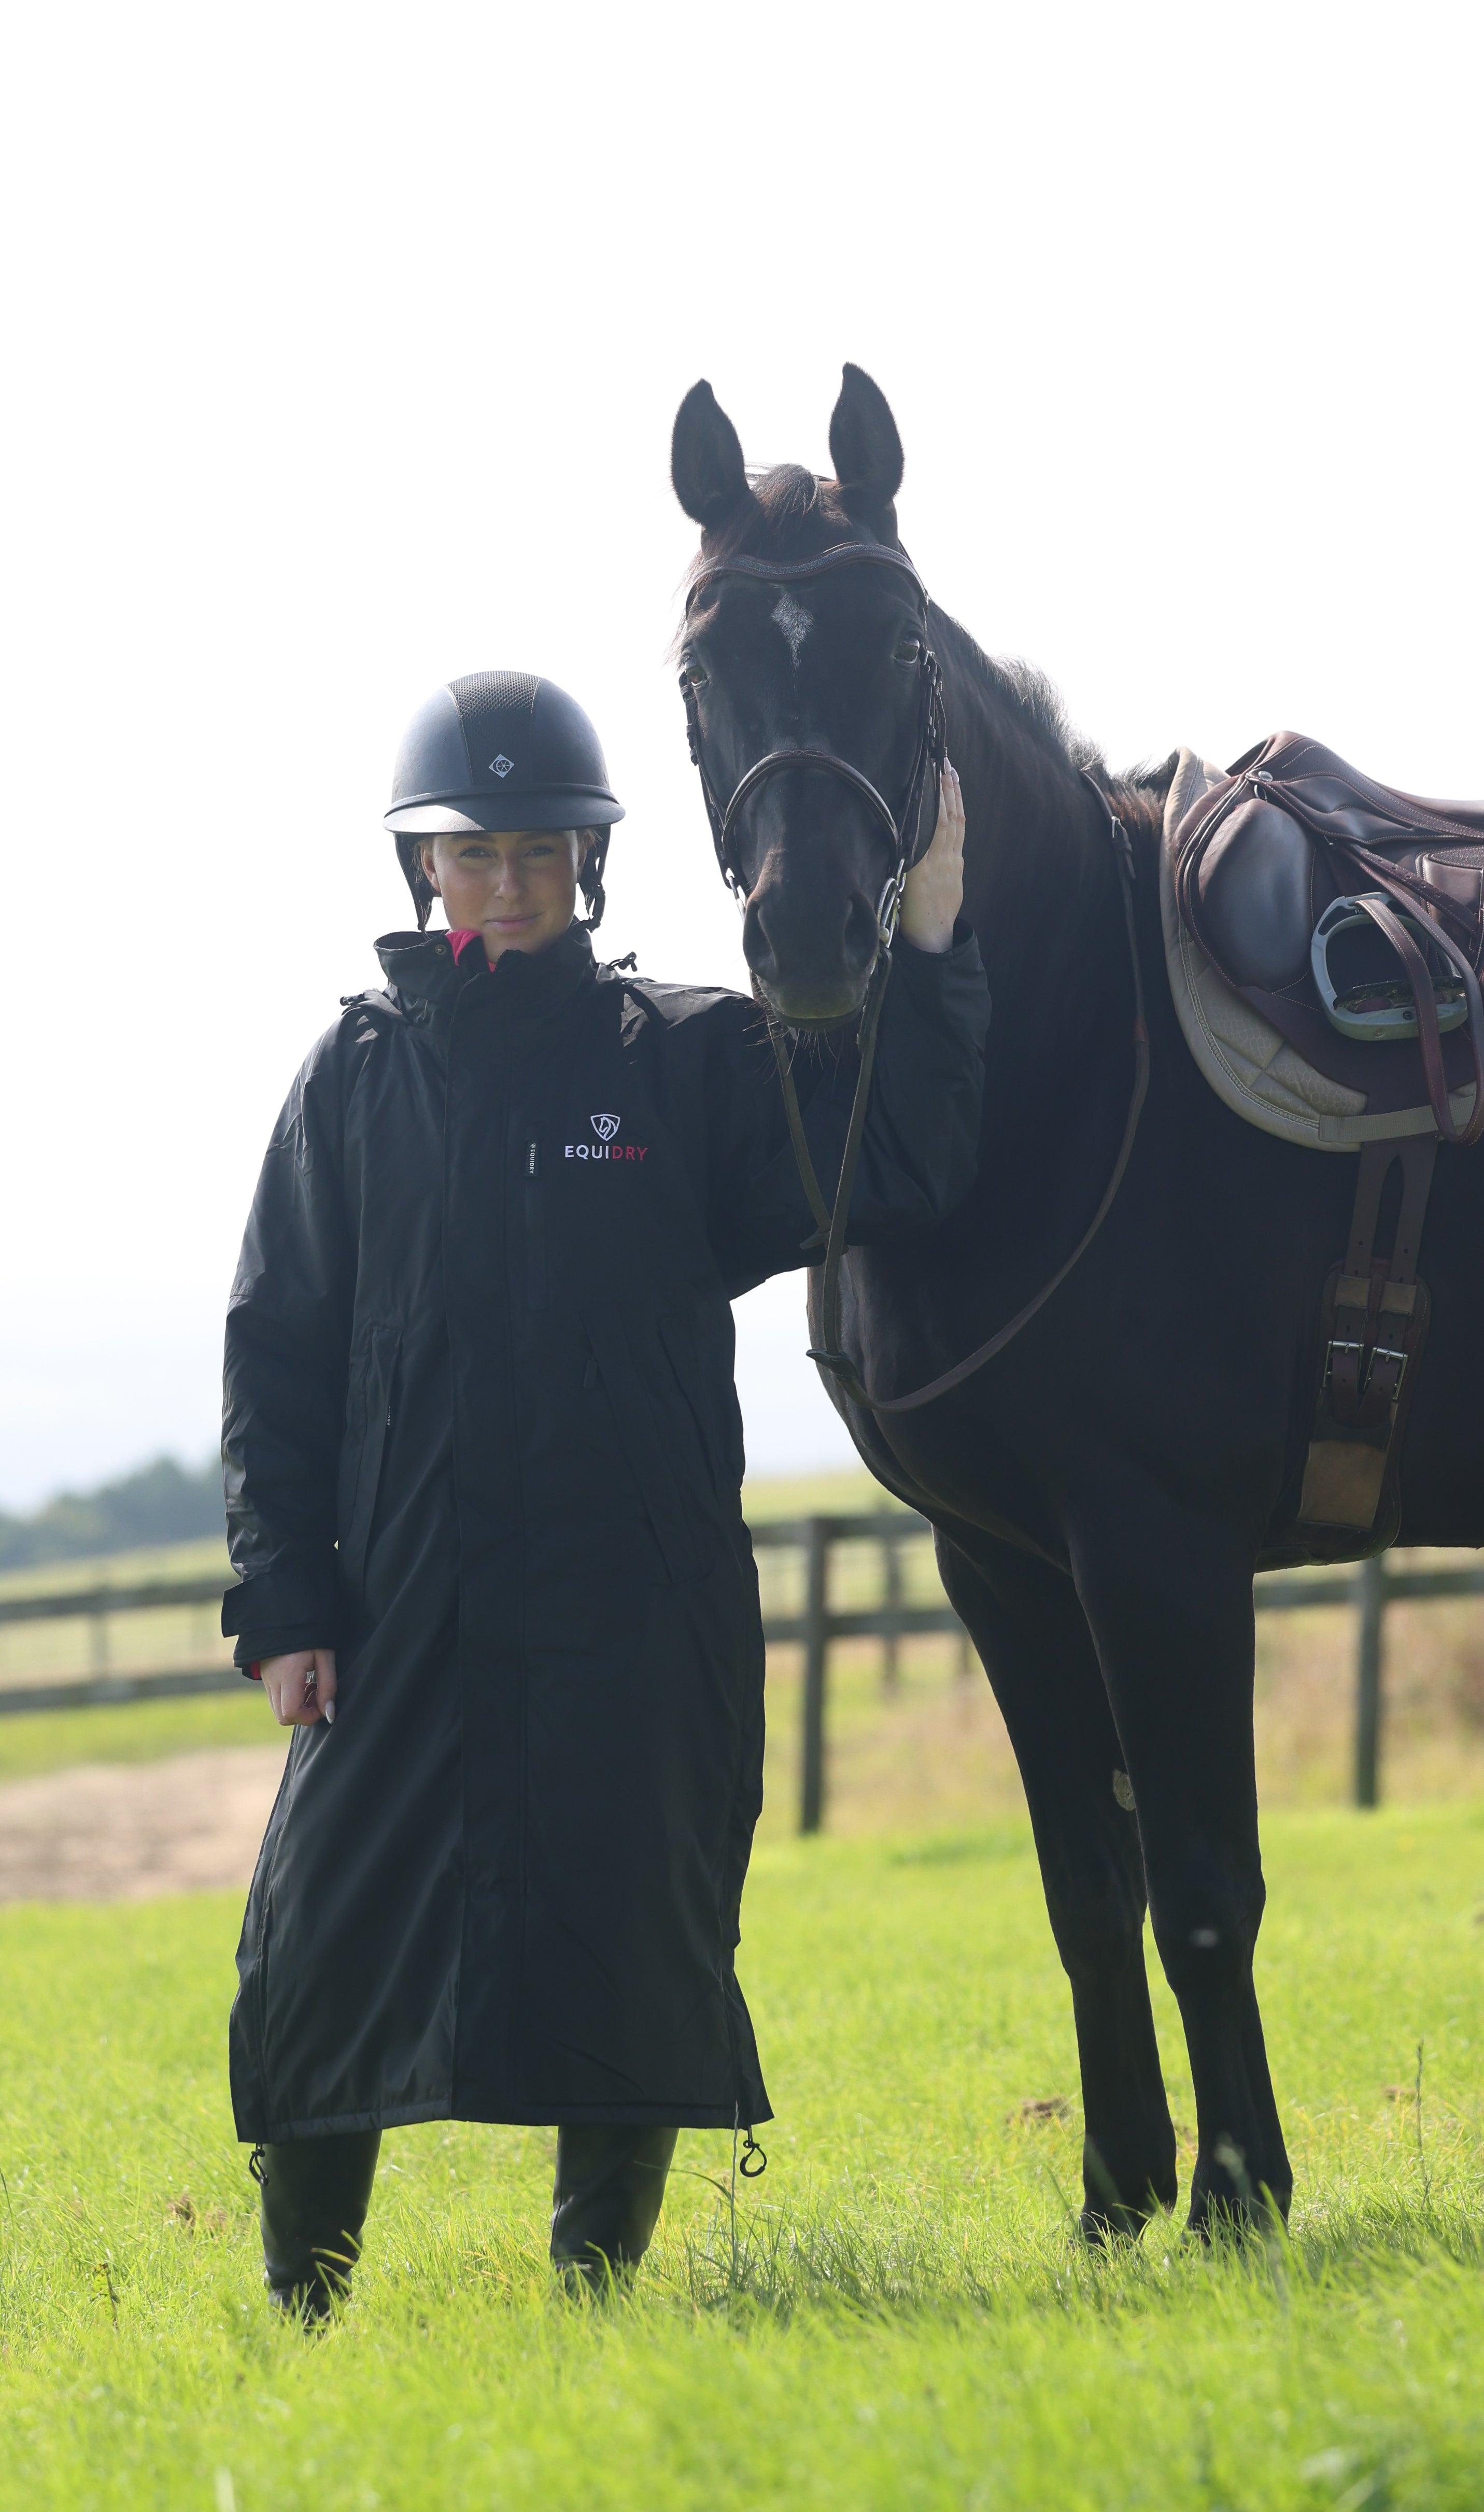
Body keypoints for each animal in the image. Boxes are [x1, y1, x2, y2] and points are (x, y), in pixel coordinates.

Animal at [669, 363, 1484, 2237]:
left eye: (900, 644)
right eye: (696, 659)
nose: (810, 936)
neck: (1058, 1063)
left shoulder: (1152, 1547)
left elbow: (1198, 1881)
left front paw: (1239, 2192)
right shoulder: (1000, 1562)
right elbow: (1082, 1887)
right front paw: (1117, 2193)